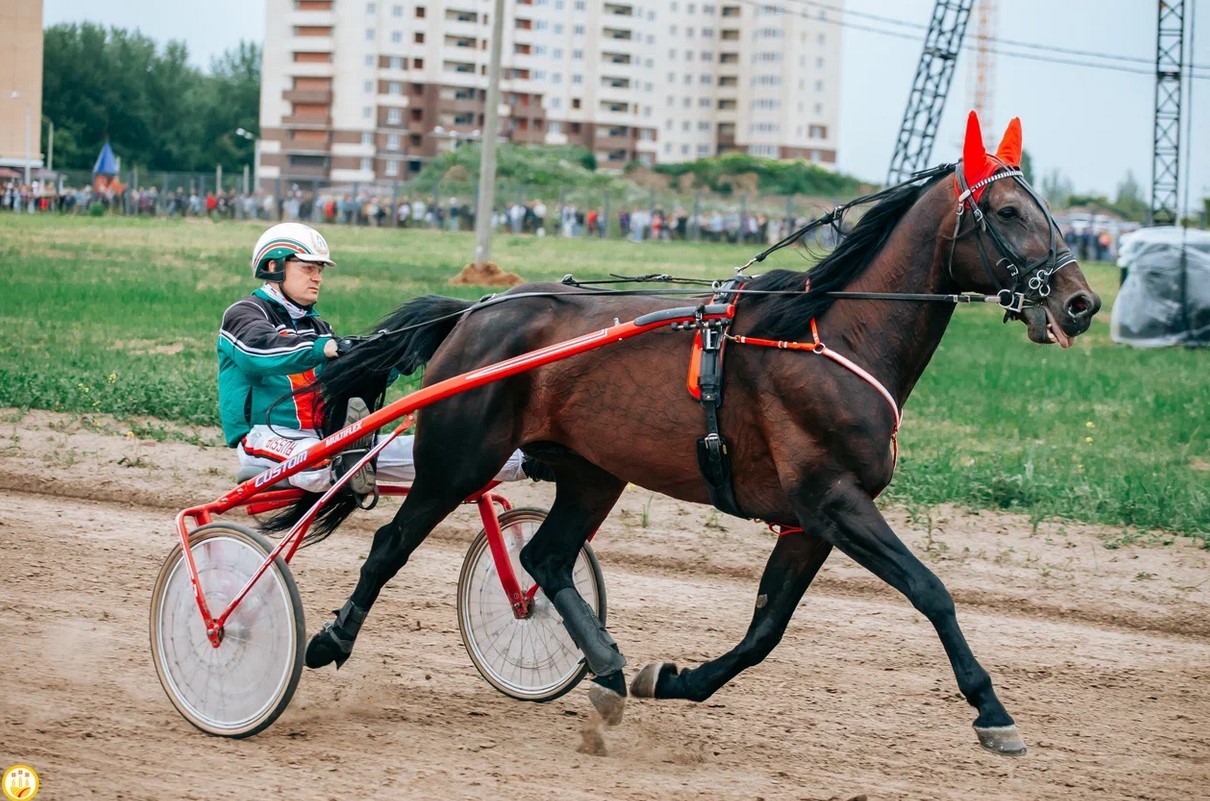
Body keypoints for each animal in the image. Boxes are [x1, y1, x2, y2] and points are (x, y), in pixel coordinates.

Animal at [287, 114, 1103, 759]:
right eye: (1007, 210)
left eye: (1048, 210)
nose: (1081, 301)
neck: (832, 333)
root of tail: (475, 310)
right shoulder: (834, 499)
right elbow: (931, 591)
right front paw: (991, 710)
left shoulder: (809, 520)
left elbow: (765, 630)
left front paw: (671, 677)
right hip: (458, 459)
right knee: (392, 544)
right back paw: (328, 639)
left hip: (593, 471)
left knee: (544, 556)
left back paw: (610, 670)